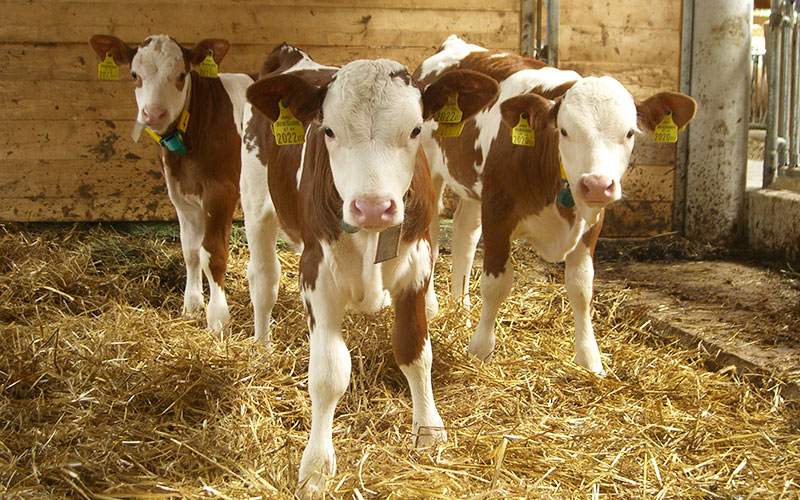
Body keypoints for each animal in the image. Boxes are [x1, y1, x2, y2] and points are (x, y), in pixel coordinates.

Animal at [89, 34, 253, 331]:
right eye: (134, 74)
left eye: (180, 75)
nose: (154, 114)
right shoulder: (180, 193)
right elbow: (190, 250)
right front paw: (192, 305)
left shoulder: (221, 190)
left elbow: (213, 251)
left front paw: (217, 317)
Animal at [240, 44, 498, 497]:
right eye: (328, 131)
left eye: (415, 130)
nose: (373, 207)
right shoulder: (316, 273)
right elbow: (328, 373)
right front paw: (316, 466)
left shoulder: (417, 266)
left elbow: (415, 352)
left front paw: (429, 431)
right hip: (255, 200)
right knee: (264, 280)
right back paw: (262, 347)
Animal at [414, 35, 697, 375]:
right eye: (564, 130)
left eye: (630, 132)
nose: (597, 184)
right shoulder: (498, 211)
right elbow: (496, 284)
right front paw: (480, 351)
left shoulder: (592, 221)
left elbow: (581, 287)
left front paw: (590, 360)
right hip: (432, 170)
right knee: (432, 235)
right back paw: (431, 308)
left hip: (472, 186)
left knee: (464, 236)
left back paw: (462, 310)